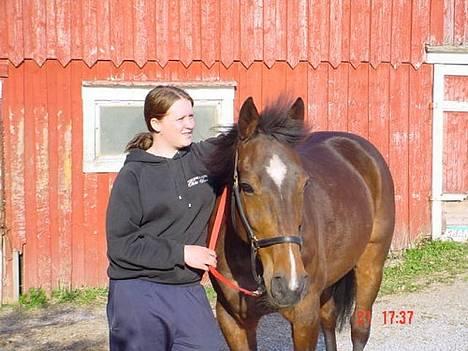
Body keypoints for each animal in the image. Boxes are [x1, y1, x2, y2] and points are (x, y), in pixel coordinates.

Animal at [207, 97, 394, 351]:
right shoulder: (232, 320)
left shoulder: (304, 315)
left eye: (304, 183)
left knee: (359, 328)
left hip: (371, 265)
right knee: (329, 319)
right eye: (246, 186)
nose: (289, 283)